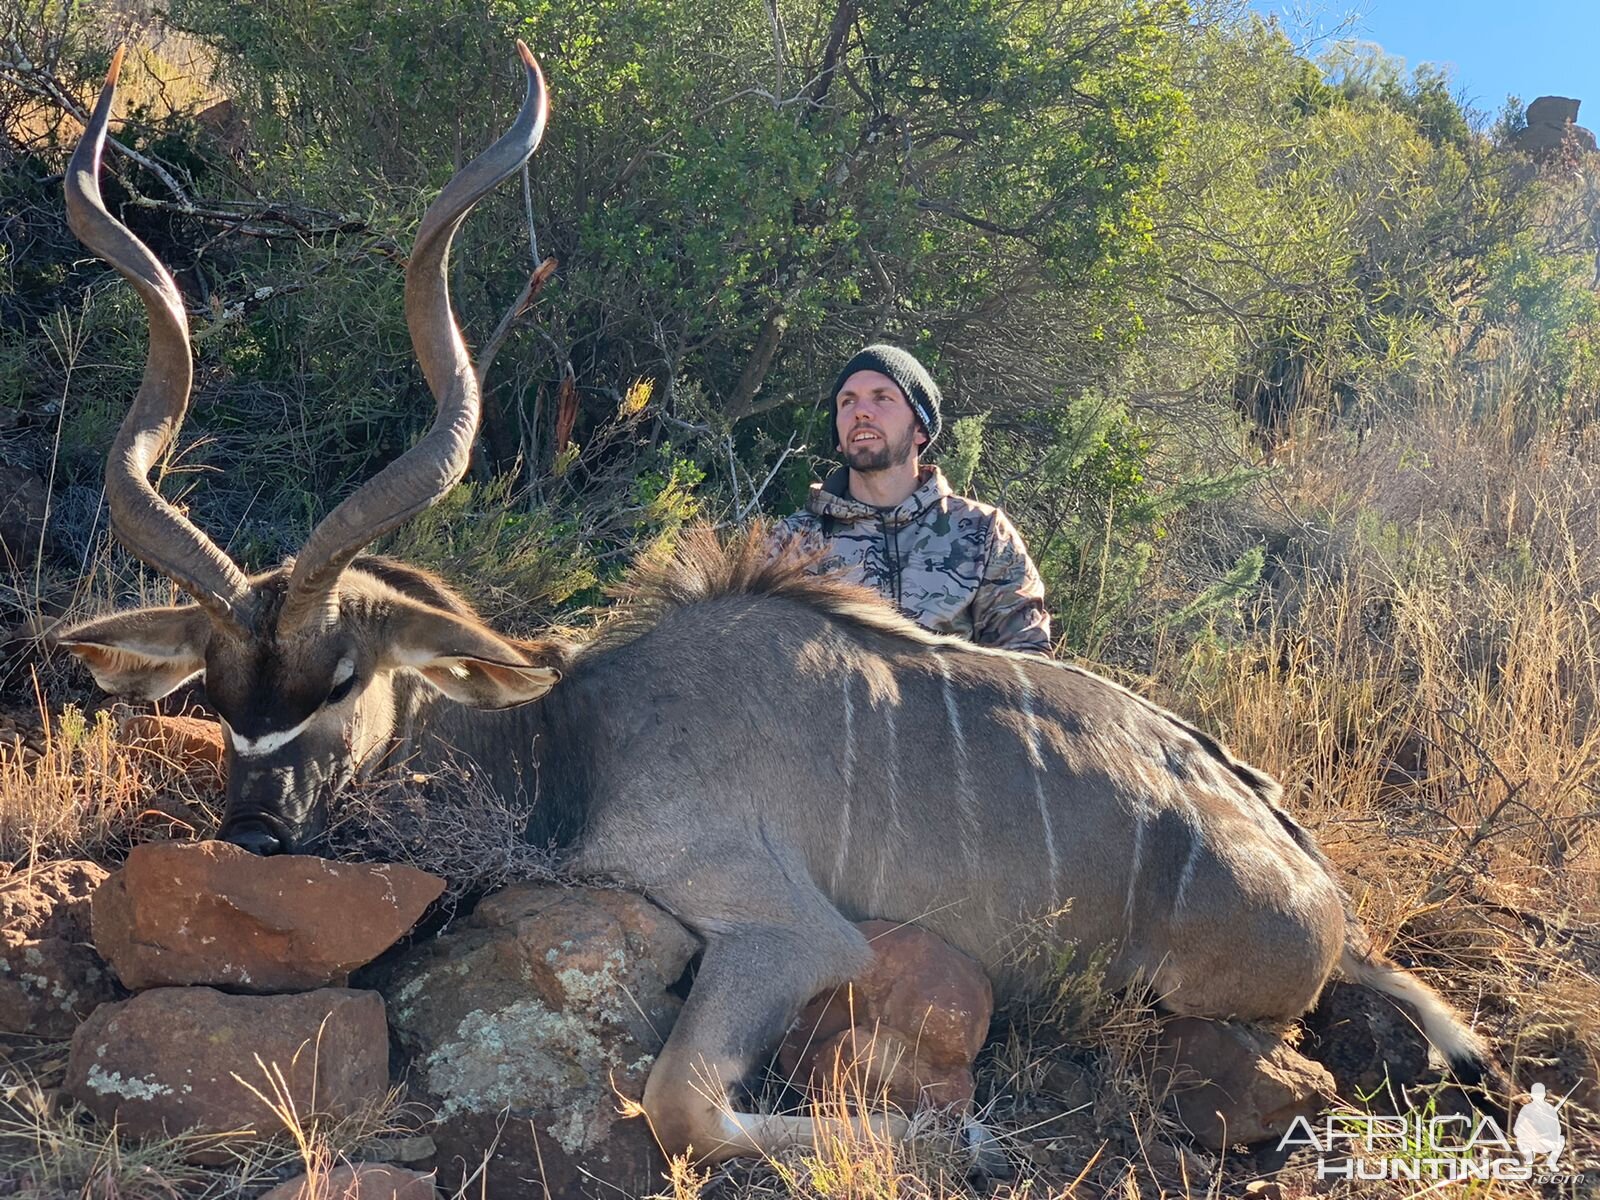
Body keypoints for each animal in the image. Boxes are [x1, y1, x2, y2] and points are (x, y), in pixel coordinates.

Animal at [56, 44, 1491, 1164]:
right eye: (216, 689)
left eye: (346, 676)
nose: (256, 828)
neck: (572, 736)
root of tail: (1312, 876)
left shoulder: (785, 931)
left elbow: (684, 1103)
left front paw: (958, 1137)